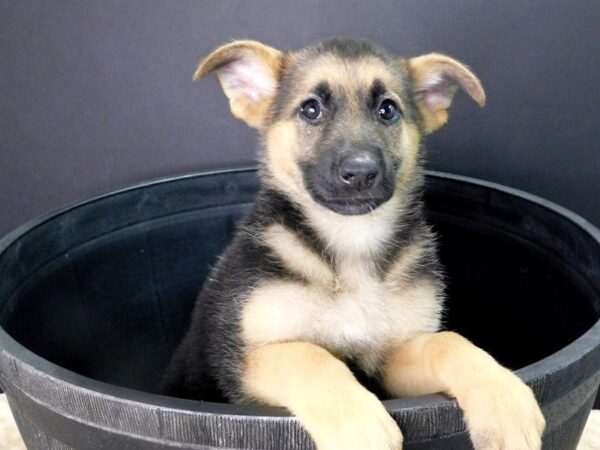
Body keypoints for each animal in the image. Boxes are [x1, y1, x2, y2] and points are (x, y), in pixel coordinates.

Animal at [166, 39, 548, 450]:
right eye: (311, 109)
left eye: (388, 110)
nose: (361, 172)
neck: (351, 244)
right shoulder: (245, 359)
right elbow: (309, 356)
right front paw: (359, 427)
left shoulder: (391, 362)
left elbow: (447, 342)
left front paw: (502, 399)